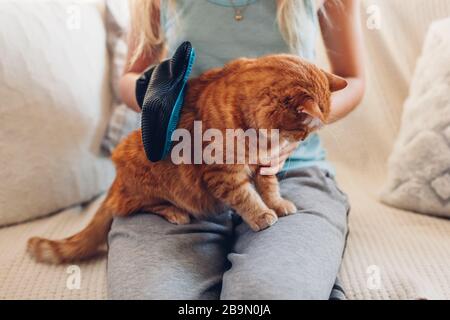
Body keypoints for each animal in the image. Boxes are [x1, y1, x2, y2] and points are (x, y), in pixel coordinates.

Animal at [26, 55, 346, 264]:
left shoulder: (265, 166)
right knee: (134, 206)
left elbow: (269, 189)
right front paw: (262, 215)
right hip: (143, 166)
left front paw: (277, 204)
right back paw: (174, 212)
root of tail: (115, 182)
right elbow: (247, 197)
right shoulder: (223, 173)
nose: (300, 142)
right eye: (302, 130)